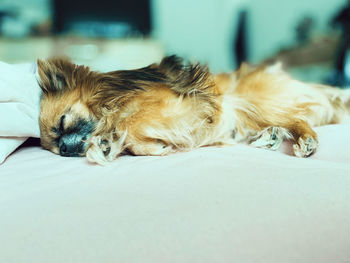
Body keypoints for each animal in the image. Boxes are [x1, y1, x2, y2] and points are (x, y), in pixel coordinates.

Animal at [37, 56, 350, 165]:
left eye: (63, 123)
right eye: (53, 147)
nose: (64, 150)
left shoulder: (182, 105)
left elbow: (129, 124)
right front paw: (107, 145)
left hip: (248, 101)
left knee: (297, 117)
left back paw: (304, 139)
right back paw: (269, 137)